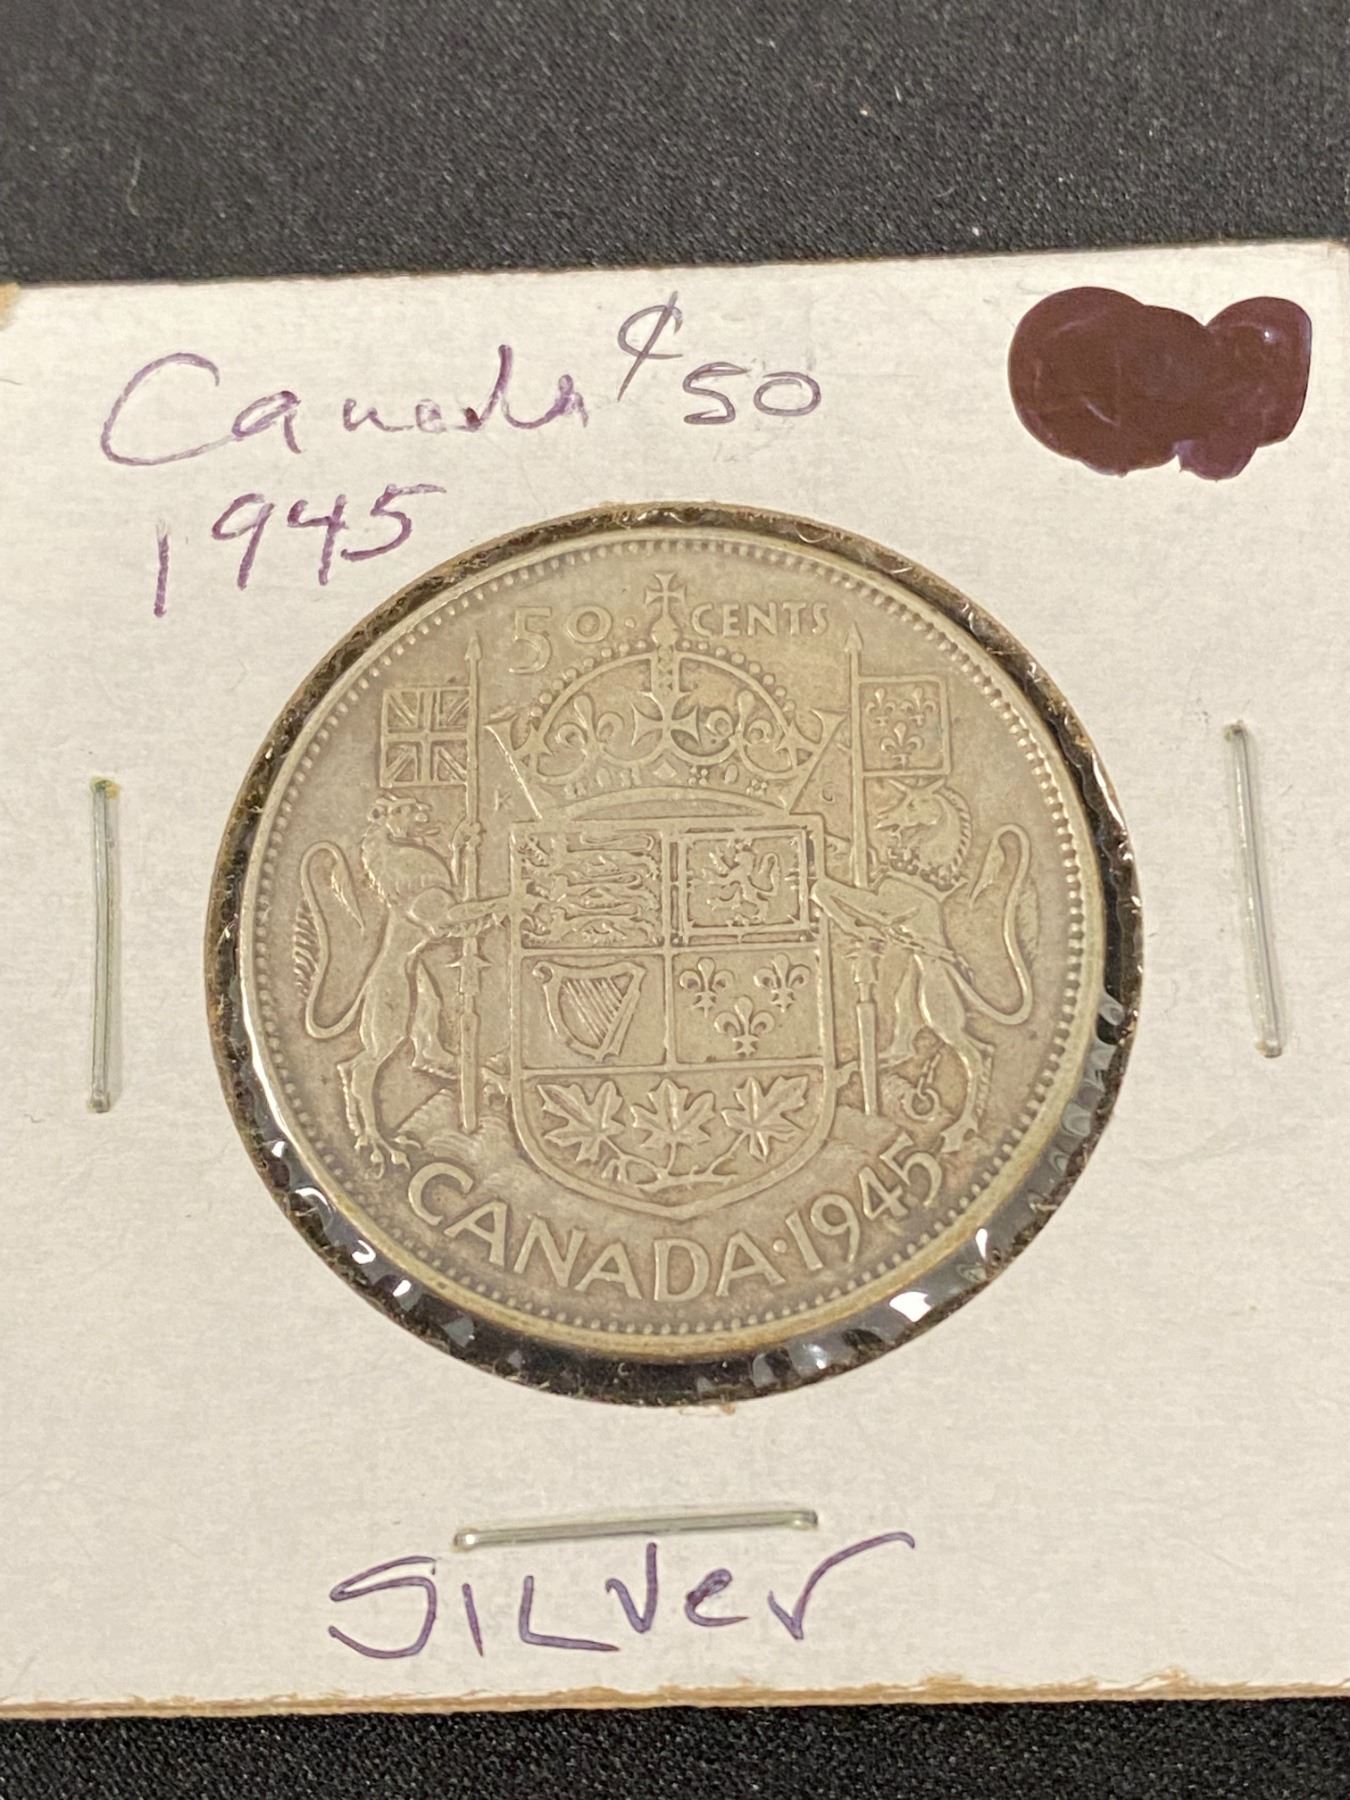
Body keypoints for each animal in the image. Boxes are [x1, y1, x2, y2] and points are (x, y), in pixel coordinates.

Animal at [293, 793, 506, 1170]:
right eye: (403, 808)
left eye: (414, 803)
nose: (425, 808)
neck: (399, 854)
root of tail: (365, 990)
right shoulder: (440, 916)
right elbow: (479, 907)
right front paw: (515, 903)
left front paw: (465, 836)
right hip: (390, 1021)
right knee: (362, 1070)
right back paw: (381, 1144)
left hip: (423, 1004)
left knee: (420, 1056)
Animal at [812, 780, 1036, 1153]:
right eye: (901, 800)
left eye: (914, 804)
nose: (882, 818)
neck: (921, 872)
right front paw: (861, 933)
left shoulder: (885, 904)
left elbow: (823, 886)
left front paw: (854, 926)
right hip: (910, 1005)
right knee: (905, 1049)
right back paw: (849, 1074)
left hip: (938, 1011)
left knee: (977, 1054)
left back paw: (959, 1130)